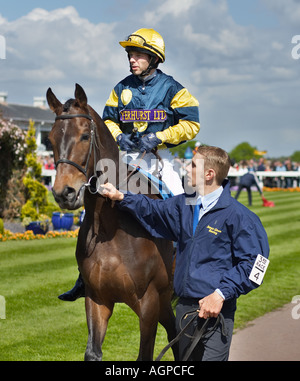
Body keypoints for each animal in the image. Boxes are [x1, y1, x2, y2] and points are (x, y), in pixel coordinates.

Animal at [46, 82, 178, 360]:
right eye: (50, 138)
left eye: (85, 136)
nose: (64, 193)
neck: (111, 228)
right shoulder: (97, 298)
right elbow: (93, 352)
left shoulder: (149, 302)